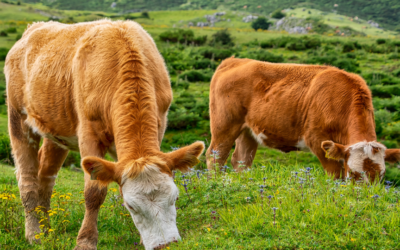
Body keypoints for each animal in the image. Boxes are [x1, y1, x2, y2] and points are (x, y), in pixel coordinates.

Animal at [5, 20, 205, 250]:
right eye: (131, 206)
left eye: (175, 197)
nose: (165, 244)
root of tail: (34, 28)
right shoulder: (88, 134)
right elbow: (94, 192)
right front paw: (85, 241)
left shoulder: (158, 126)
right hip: (18, 118)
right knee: (27, 179)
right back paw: (34, 234)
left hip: (56, 129)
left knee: (45, 177)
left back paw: (47, 230)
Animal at [206, 56, 400, 182]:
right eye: (354, 174)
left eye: (381, 176)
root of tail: (234, 61)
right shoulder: (318, 140)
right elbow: (335, 175)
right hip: (225, 125)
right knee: (216, 156)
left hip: (248, 131)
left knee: (241, 160)